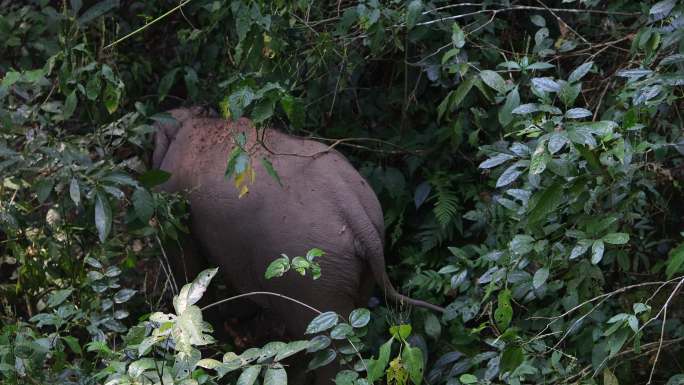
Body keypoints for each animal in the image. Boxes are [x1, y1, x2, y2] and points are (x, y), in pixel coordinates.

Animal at [150, 105, 444, 380]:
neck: (196, 120)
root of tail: (355, 214)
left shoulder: (174, 201)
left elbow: (188, 268)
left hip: (313, 279)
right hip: (353, 268)